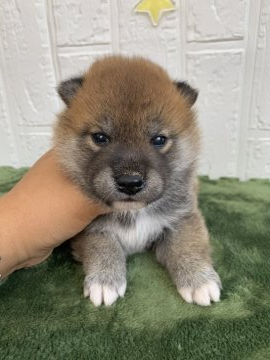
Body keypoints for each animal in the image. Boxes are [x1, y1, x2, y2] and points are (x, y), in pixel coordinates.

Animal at [53, 55, 220, 306]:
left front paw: (199, 280)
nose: (130, 183)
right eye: (100, 137)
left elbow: (188, 244)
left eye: (159, 140)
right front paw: (104, 279)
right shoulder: (87, 228)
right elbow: (102, 245)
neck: (132, 212)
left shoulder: (183, 217)